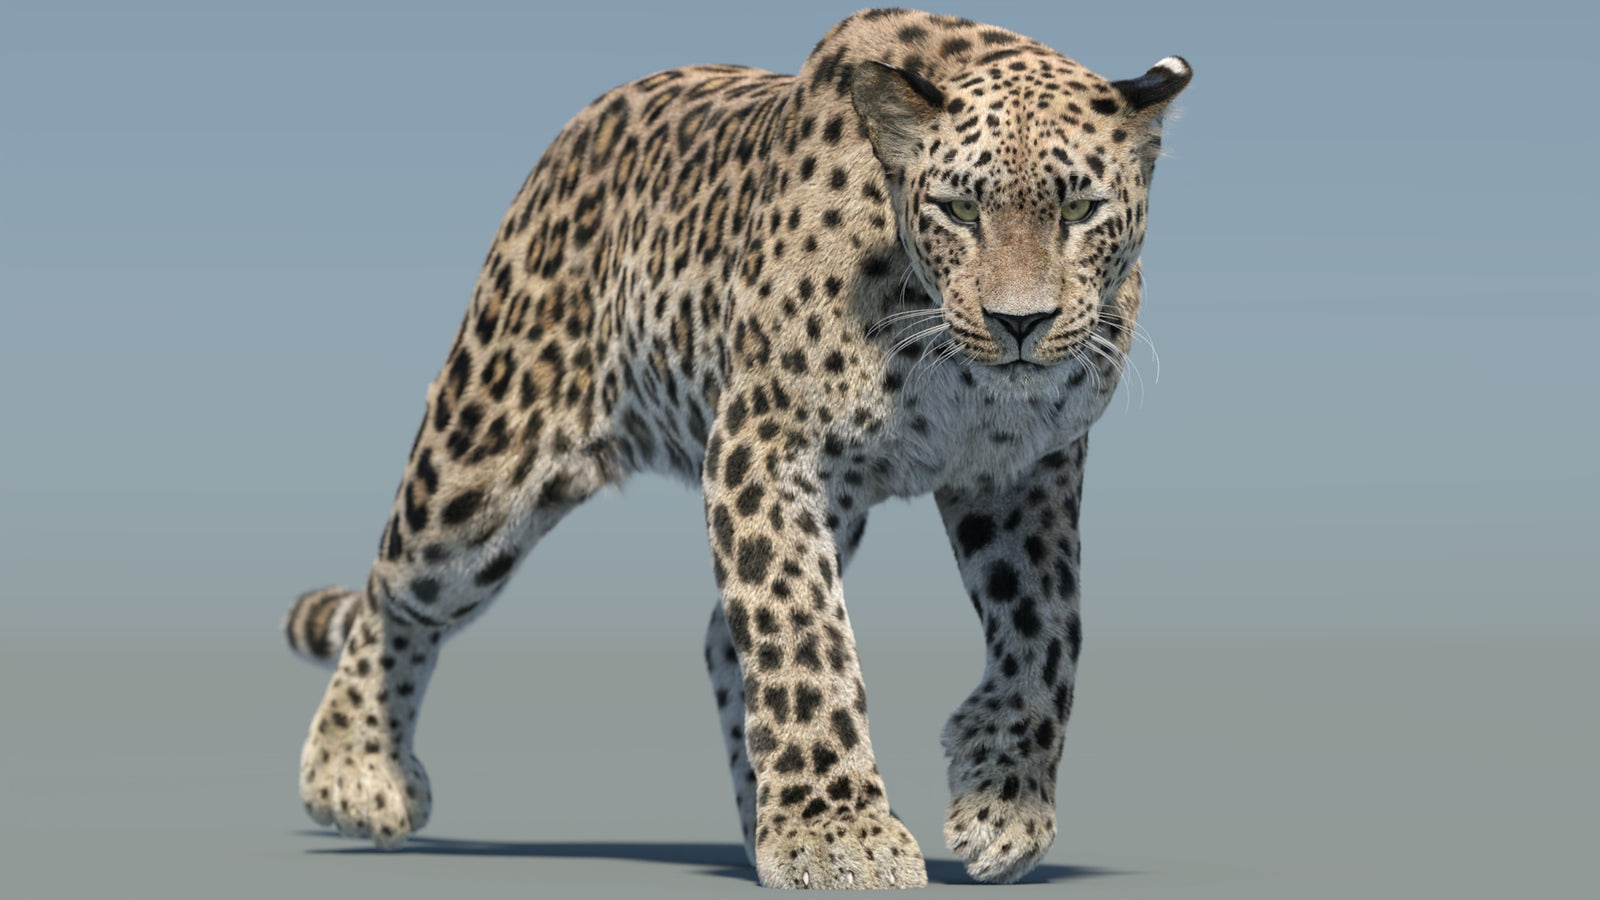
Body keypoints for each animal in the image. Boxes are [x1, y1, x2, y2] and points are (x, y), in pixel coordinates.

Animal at [283, 8, 1189, 889]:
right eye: (961, 211)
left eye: (1080, 210)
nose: (1020, 323)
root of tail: (579, 129)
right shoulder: (765, 442)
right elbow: (799, 631)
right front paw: (838, 836)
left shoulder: (1021, 470)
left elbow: (1049, 626)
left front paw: (1003, 798)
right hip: (485, 463)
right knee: (396, 588)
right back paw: (353, 772)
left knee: (722, 639)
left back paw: (760, 816)